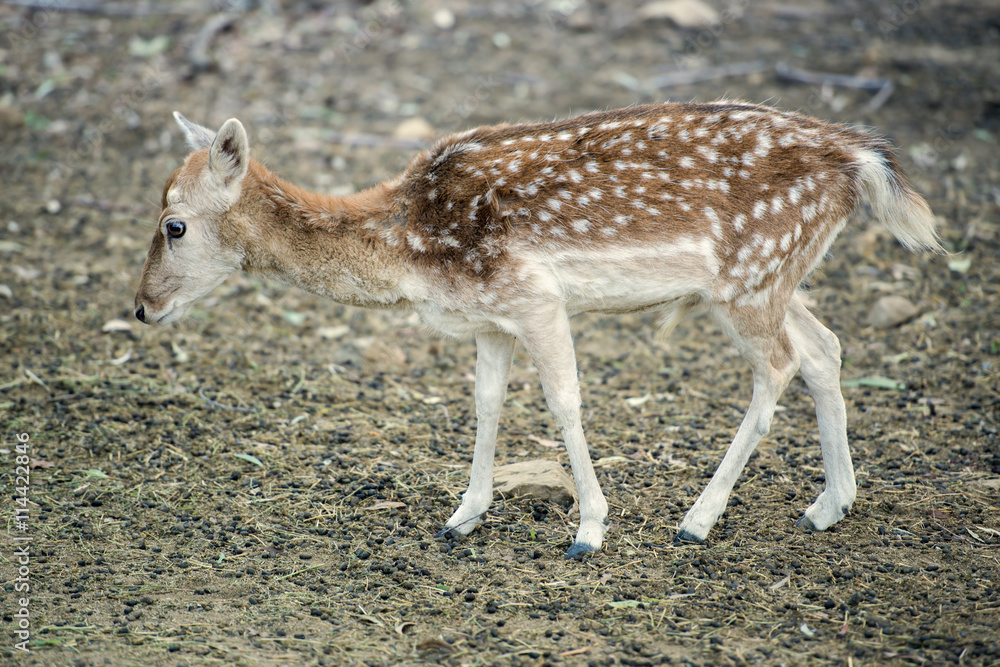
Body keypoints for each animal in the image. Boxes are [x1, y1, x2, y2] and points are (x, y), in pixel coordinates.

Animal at [134, 102, 941, 558]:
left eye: (174, 225)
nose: (142, 307)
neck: (411, 248)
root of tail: (862, 158)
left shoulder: (536, 298)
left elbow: (565, 402)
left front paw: (590, 530)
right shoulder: (489, 319)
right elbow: (487, 403)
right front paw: (462, 516)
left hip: (751, 274)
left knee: (776, 366)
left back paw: (698, 519)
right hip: (773, 277)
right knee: (825, 348)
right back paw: (829, 505)